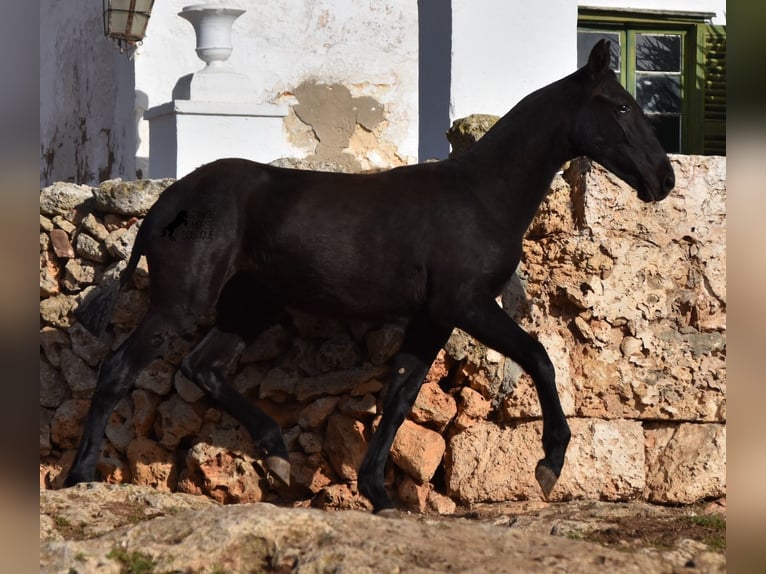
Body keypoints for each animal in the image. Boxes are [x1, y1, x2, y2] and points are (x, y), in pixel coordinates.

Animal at [67, 42, 680, 516]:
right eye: (621, 106)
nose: (664, 178)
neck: (481, 198)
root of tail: (166, 203)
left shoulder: (432, 318)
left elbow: (401, 394)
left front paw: (378, 493)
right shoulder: (468, 305)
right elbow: (538, 356)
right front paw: (551, 460)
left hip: (248, 308)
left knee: (205, 368)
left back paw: (276, 452)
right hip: (183, 303)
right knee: (120, 369)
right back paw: (80, 474)